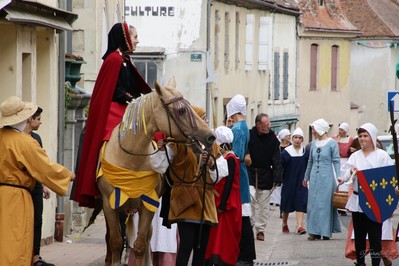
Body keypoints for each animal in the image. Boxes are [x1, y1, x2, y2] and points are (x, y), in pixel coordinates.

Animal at [90, 76, 216, 264]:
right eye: (181, 111)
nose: (211, 136)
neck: (130, 160)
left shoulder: (148, 205)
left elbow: (140, 245)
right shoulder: (109, 205)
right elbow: (116, 243)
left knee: (147, 238)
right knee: (109, 240)